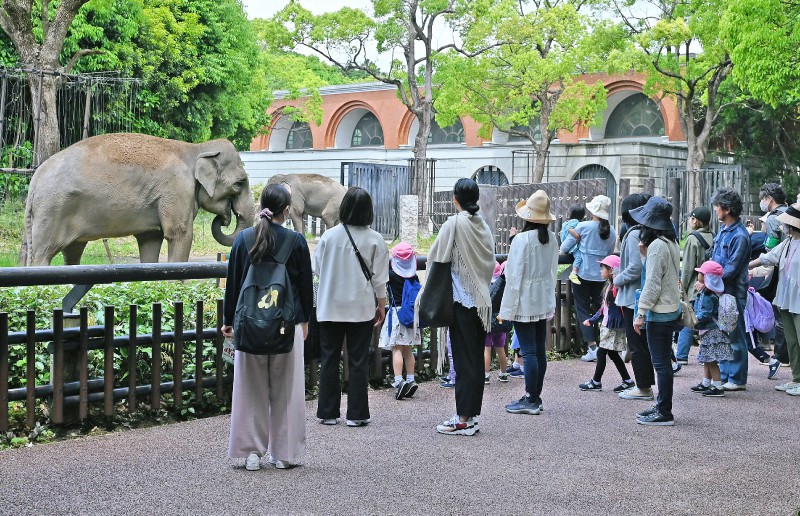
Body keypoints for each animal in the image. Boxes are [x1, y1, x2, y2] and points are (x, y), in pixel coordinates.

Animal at [22, 132, 253, 266]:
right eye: (239, 183)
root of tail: (36, 178)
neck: (197, 148)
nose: (224, 219)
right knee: (44, 254)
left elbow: (150, 241)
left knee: (73, 252)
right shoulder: (176, 190)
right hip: (52, 211)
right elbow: (180, 235)